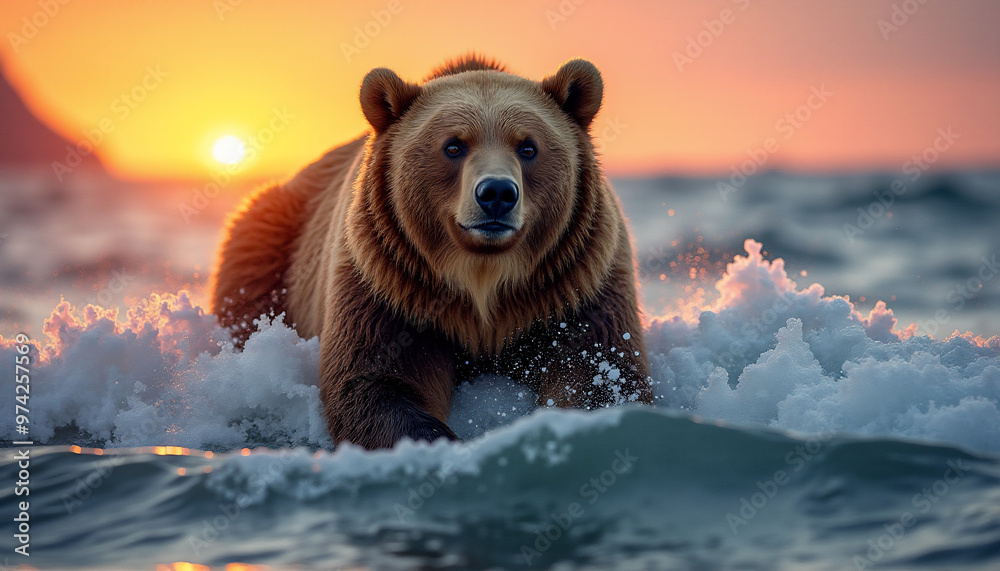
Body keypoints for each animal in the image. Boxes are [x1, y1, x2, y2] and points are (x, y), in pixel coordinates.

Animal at [210, 55, 653, 449]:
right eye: (453, 146)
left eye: (528, 147)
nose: (496, 193)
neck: (483, 282)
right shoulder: (391, 286)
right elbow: (377, 381)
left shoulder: (574, 285)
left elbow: (599, 373)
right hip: (272, 240)